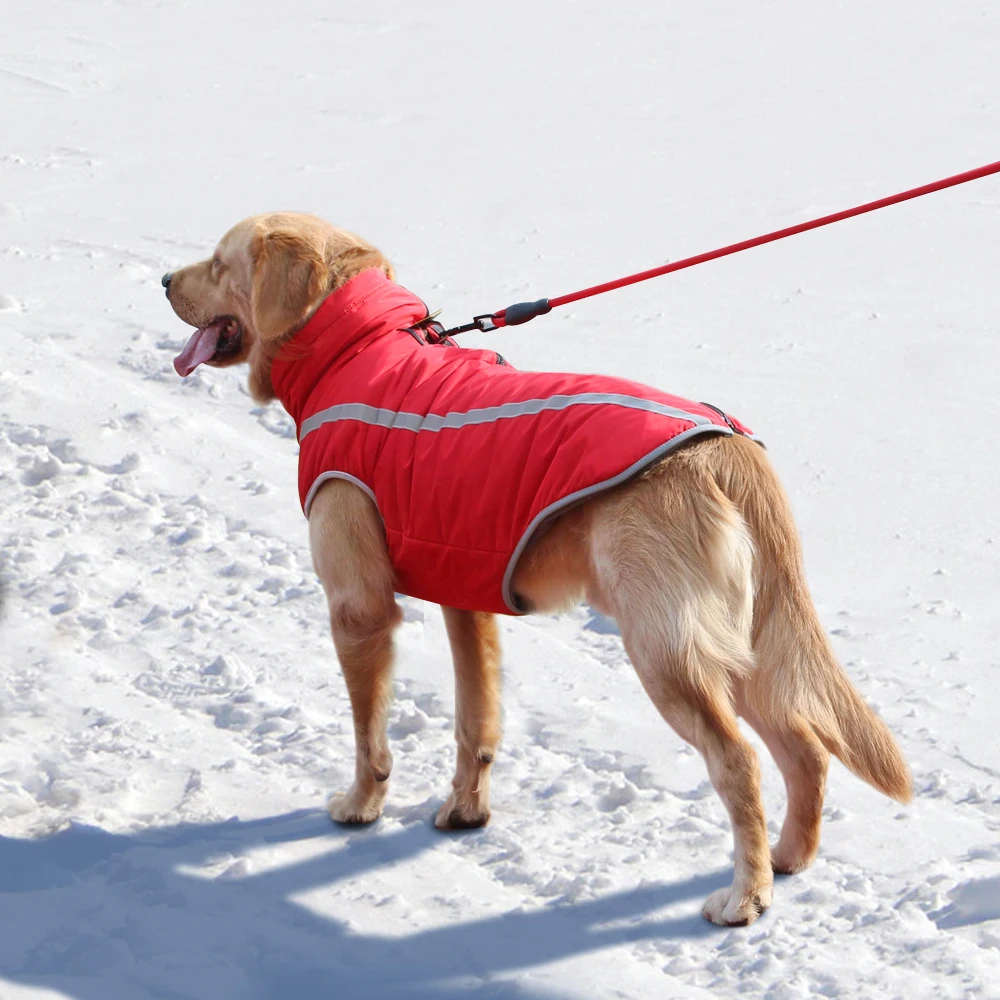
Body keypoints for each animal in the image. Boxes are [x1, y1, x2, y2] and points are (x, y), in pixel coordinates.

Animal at [164, 213, 916, 928]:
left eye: (218, 262)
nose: (166, 279)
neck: (359, 350)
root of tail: (723, 446)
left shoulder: (359, 609)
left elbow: (369, 737)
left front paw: (360, 805)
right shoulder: (465, 600)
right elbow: (476, 725)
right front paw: (465, 812)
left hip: (667, 654)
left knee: (741, 763)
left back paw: (745, 897)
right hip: (745, 647)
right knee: (806, 750)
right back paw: (787, 860)